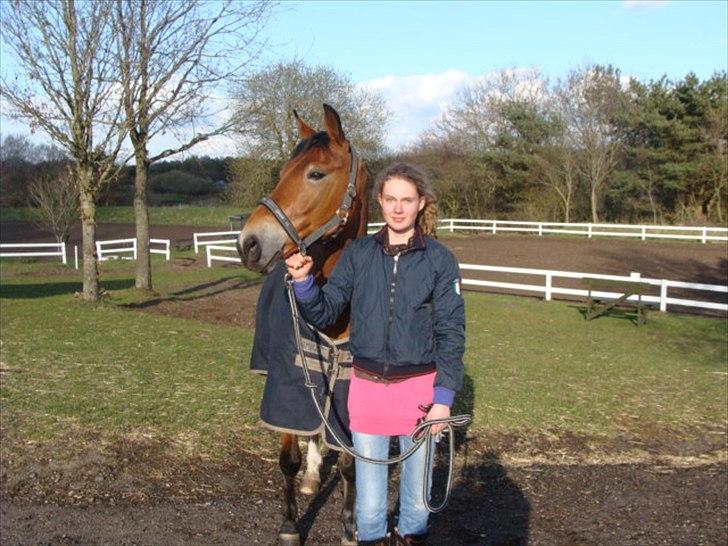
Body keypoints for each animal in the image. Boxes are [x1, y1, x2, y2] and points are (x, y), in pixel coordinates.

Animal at [237, 104, 368, 546]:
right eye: (281, 172)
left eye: (315, 173)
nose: (249, 243)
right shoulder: (286, 384)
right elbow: (288, 459)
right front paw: (290, 525)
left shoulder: (344, 392)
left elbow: (348, 464)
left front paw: (350, 527)